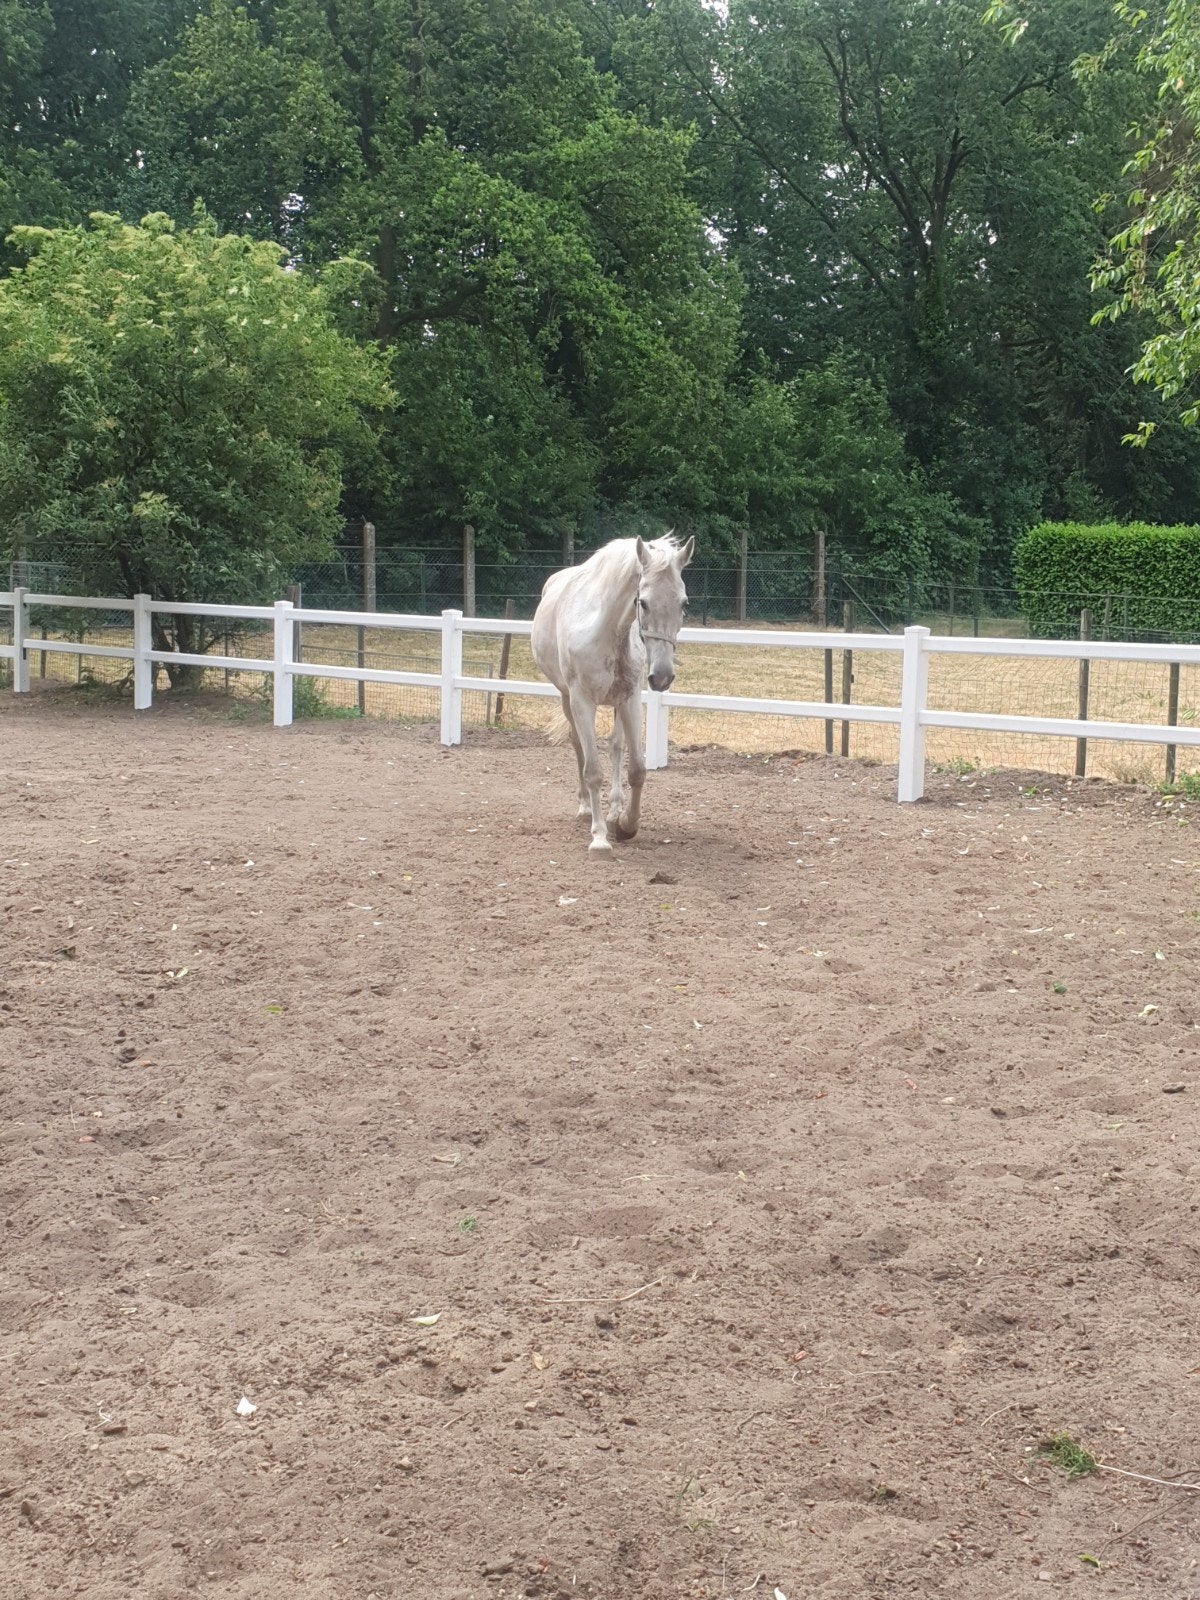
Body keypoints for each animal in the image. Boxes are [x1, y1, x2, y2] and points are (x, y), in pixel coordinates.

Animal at [531, 533, 694, 854]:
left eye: (683, 603)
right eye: (643, 602)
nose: (662, 676)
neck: (604, 630)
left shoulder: (630, 699)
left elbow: (637, 769)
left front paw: (626, 825)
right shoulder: (582, 701)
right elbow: (593, 769)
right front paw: (599, 837)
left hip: (617, 703)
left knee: (616, 748)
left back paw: (615, 810)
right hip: (567, 699)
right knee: (578, 746)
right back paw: (585, 808)